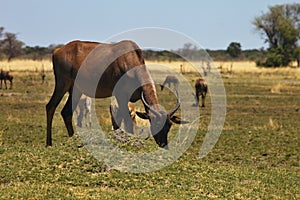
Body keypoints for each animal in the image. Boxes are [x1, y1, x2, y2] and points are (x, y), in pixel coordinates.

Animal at [45, 39, 186, 148]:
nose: (164, 145)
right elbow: (125, 120)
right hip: (62, 84)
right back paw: (49, 143)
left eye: (169, 125)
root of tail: (57, 51)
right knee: (50, 106)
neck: (129, 58)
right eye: (156, 124)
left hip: (76, 90)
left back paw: (73, 139)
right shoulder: (120, 95)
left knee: (66, 112)